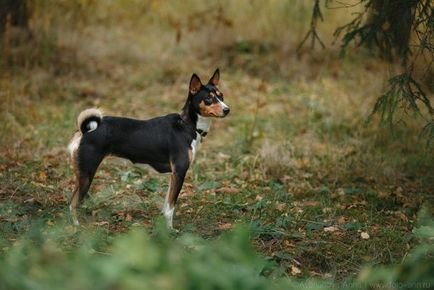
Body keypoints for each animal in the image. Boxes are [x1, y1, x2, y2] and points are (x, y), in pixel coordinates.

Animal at [68, 69, 229, 228]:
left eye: (221, 96)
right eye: (208, 99)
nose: (227, 110)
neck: (187, 125)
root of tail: (84, 131)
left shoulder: (173, 175)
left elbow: (166, 205)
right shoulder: (179, 172)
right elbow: (171, 207)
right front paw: (170, 230)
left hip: (81, 175)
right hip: (87, 175)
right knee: (73, 203)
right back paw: (77, 227)